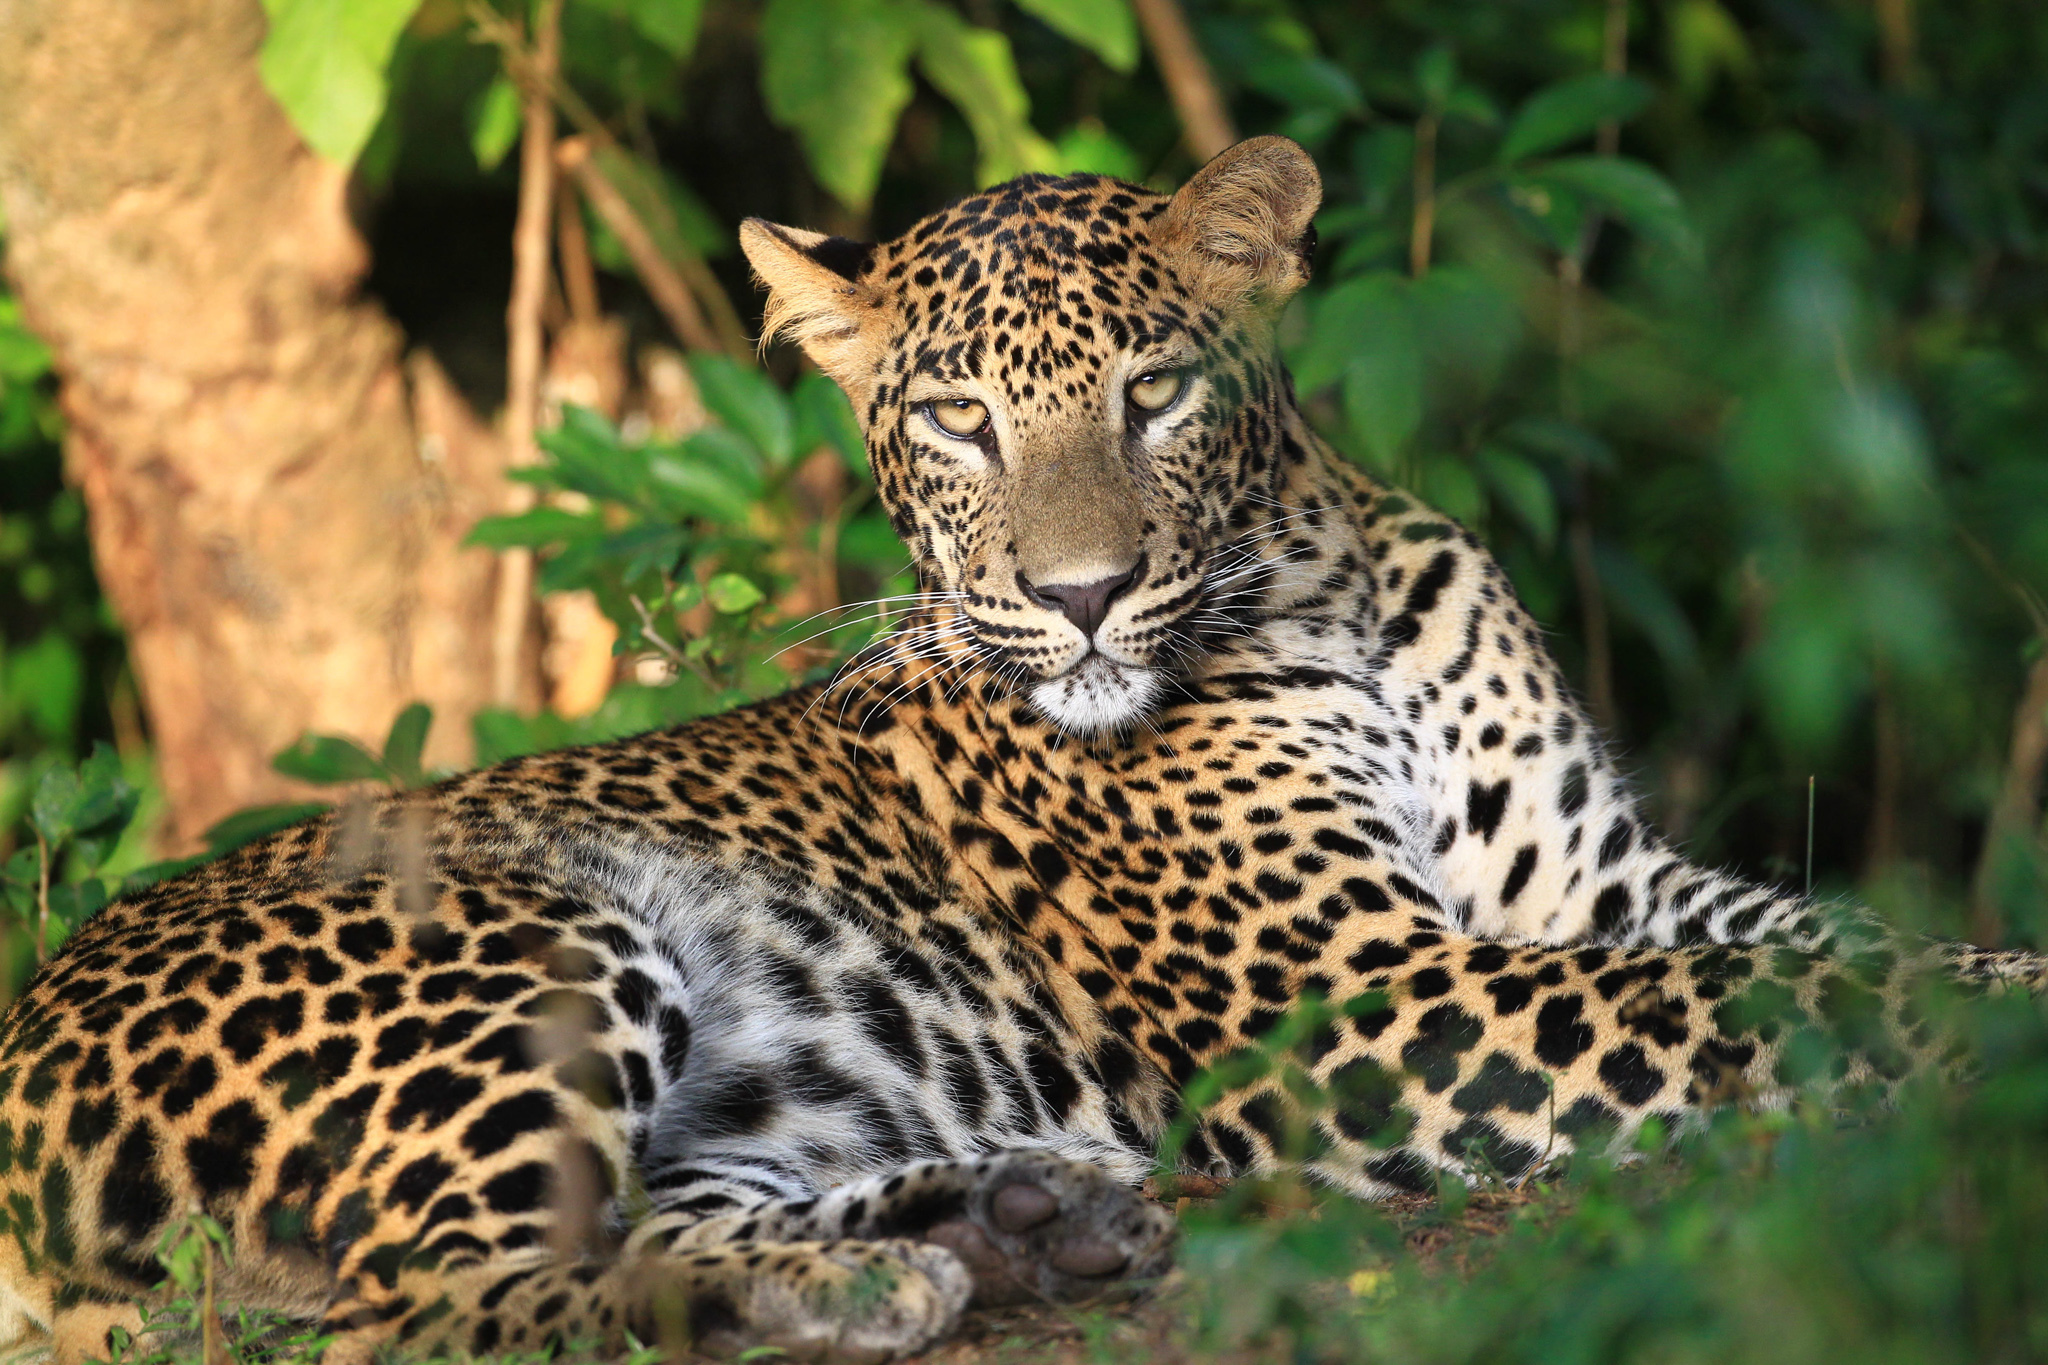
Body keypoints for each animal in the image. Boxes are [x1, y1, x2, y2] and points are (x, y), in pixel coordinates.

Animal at [0, 136, 2039, 1365]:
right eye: (958, 421)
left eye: (1156, 390)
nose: (1079, 597)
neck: (1329, 599)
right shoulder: (1357, 1002)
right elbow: (1741, 1003)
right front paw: (1987, 1039)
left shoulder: (1601, 883)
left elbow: (1817, 941)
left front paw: (1997, 976)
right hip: (524, 939)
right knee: (429, 1297)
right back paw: (881, 1274)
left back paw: (1012, 1221)